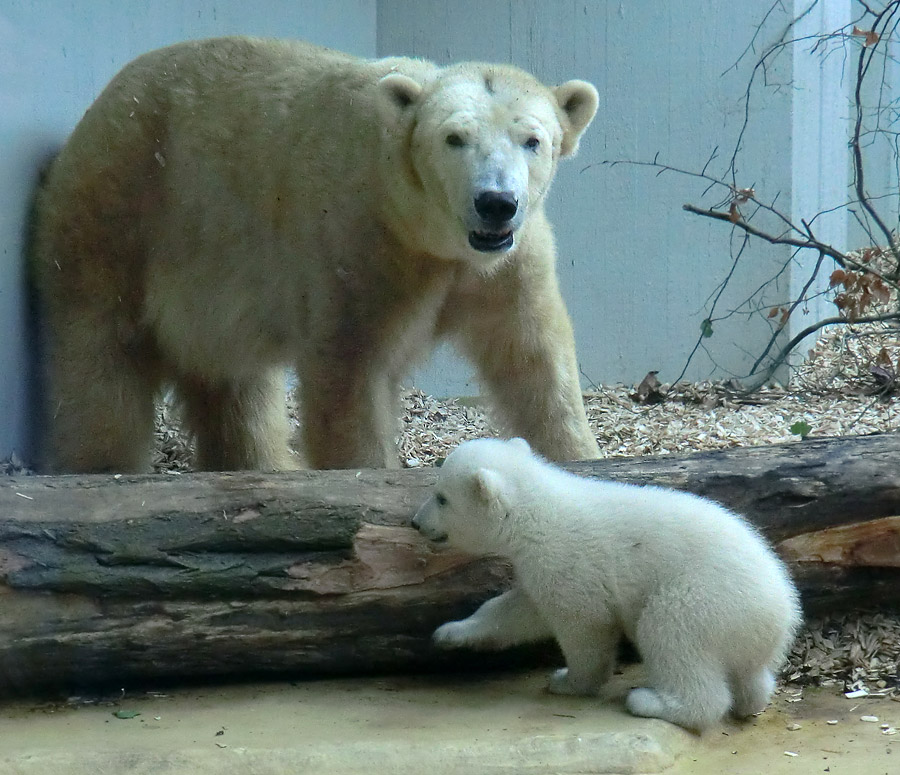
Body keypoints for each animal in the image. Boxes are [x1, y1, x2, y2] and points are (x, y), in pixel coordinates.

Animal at [31, 36, 600, 472]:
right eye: (454, 138)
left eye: (532, 140)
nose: (496, 202)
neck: (428, 232)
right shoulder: (359, 243)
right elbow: (349, 373)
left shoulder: (509, 266)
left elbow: (533, 359)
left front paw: (579, 460)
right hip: (117, 217)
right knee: (103, 363)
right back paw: (102, 465)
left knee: (235, 384)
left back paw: (263, 464)